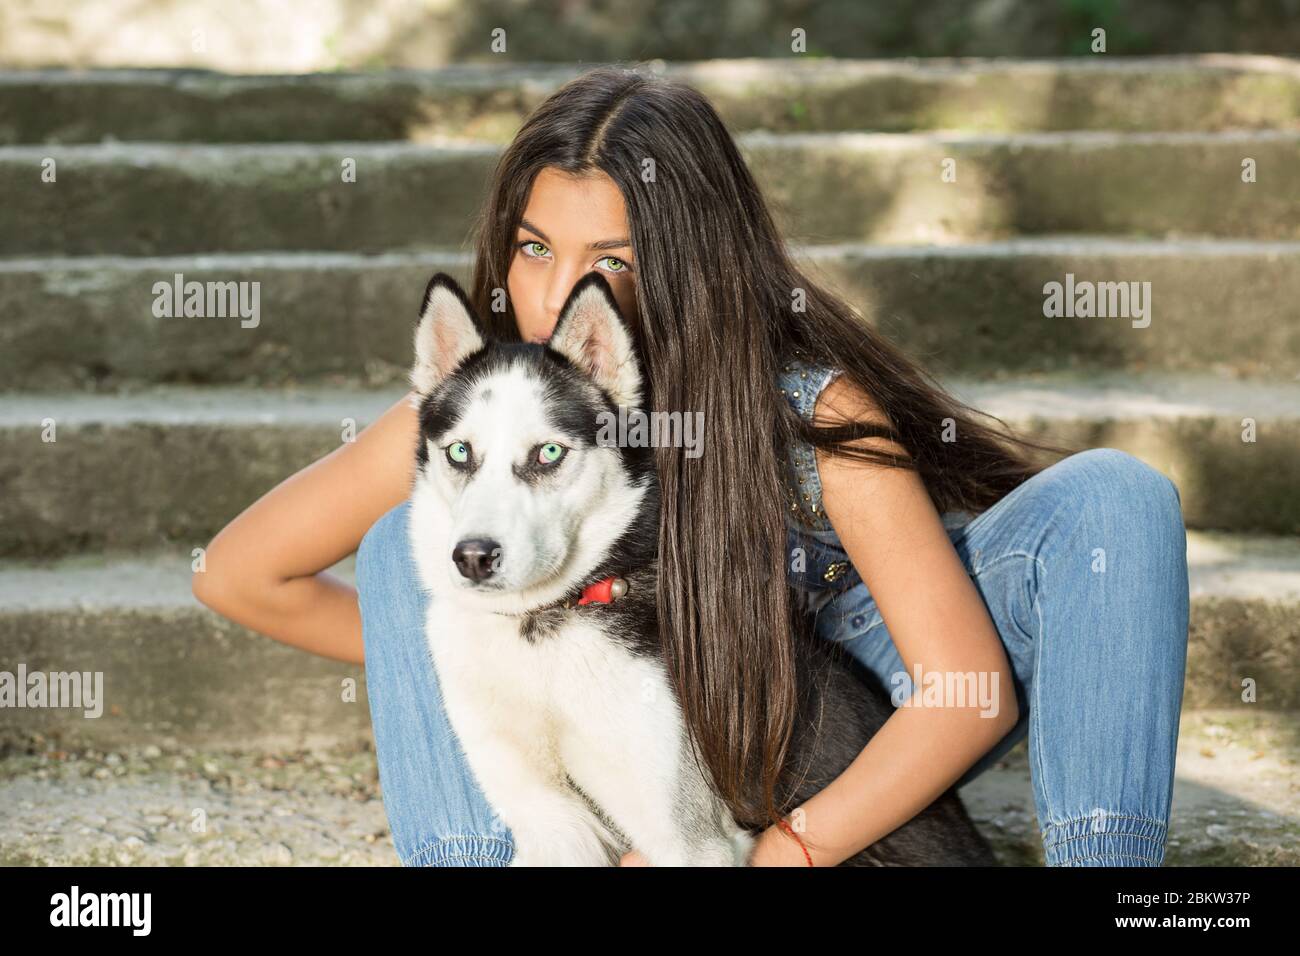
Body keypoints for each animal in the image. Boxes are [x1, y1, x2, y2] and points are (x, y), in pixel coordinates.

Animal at [405, 270, 993, 868]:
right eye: (460, 452)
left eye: (548, 453)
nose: (474, 557)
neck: (542, 627)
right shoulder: (550, 823)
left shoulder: (689, 839)